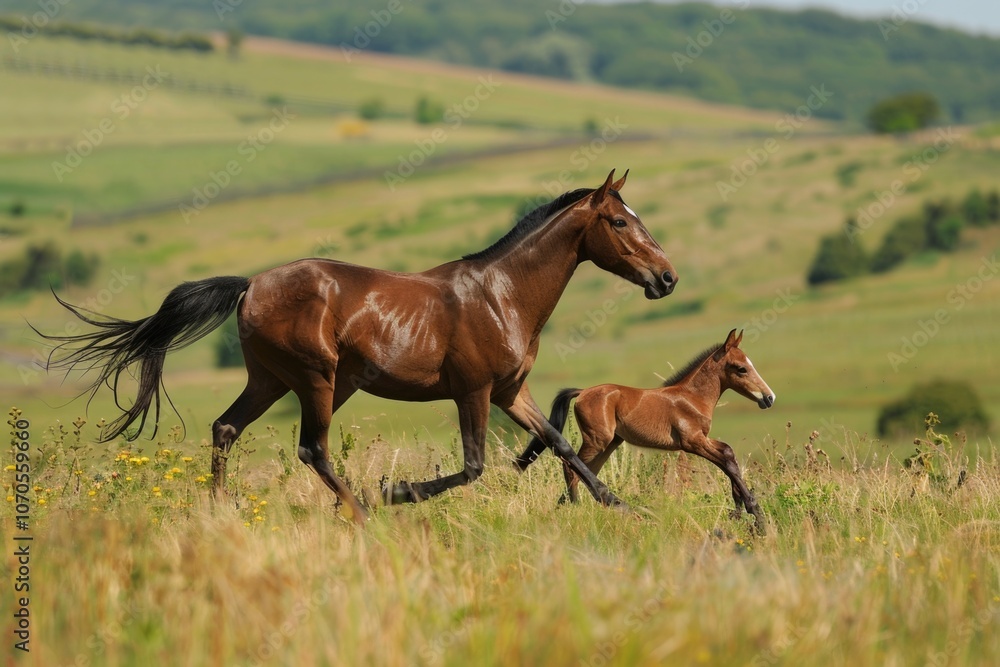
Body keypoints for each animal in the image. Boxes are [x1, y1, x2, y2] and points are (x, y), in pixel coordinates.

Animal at [39, 170, 677, 525]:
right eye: (620, 222)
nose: (667, 278)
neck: (503, 295)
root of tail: (250, 285)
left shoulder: (509, 393)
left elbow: (560, 443)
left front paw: (621, 506)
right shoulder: (473, 392)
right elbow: (473, 466)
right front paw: (397, 491)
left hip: (276, 380)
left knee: (226, 428)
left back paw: (220, 510)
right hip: (317, 379)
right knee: (311, 449)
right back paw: (363, 510)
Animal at [514, 329, 774, 533]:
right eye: (741, 369)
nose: (769, 398)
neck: (692, 398)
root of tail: (583, 392)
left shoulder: (702, 440)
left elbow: (728, 454)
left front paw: (740, 510)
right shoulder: (693, 442)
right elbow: (726, 460)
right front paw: (754, 514)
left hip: (610, 444)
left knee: (584, 472)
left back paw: (563, 508)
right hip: (597, 441)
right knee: (571, 467)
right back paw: (574, 508)